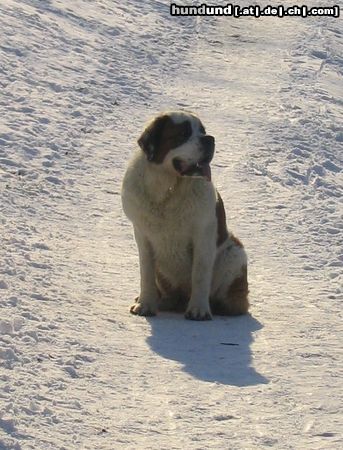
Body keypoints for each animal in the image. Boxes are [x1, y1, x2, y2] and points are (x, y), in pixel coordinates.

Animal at [121, 111, 250, 322]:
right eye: (183, 134)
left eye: (203, 131)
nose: (209, 139)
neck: (168, 188)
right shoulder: (142, 235)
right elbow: (146, 272)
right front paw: (145, 305)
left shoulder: (203, 234)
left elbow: (200, 273)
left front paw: (199, 310)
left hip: (234, 253)